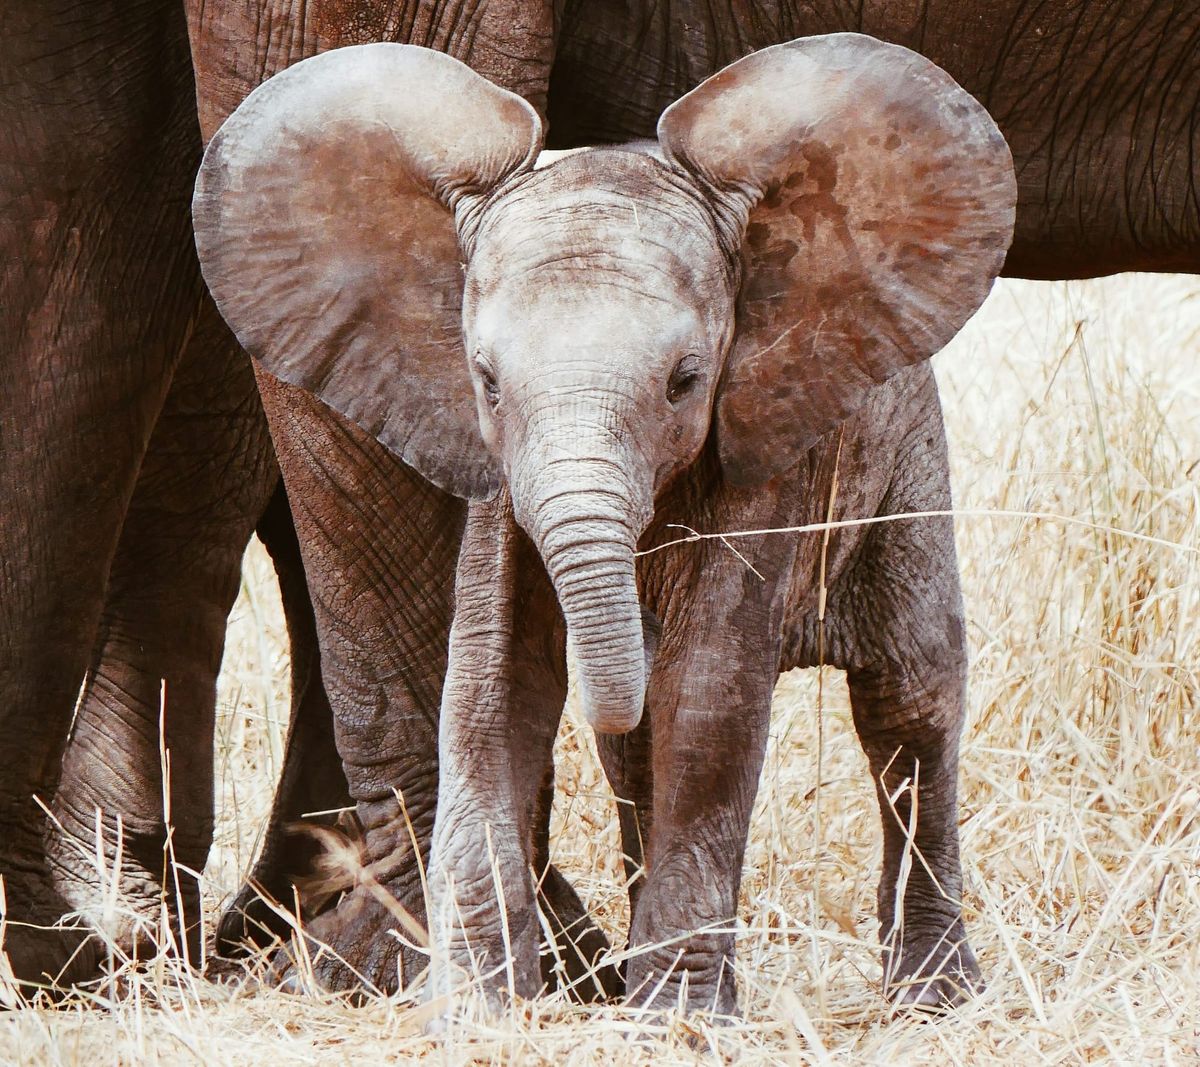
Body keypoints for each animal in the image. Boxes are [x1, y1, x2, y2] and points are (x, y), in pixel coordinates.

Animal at [193, 35, 1016, 1015]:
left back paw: (934, 995)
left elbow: (708, 694)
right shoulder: (499, 492)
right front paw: (483, 1010)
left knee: (911, 700)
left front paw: (681, 1020)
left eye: (686, 381)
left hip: (906, 459)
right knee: (637, 762)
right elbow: (490, 689)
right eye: (487, 382)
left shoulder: (763, 450)